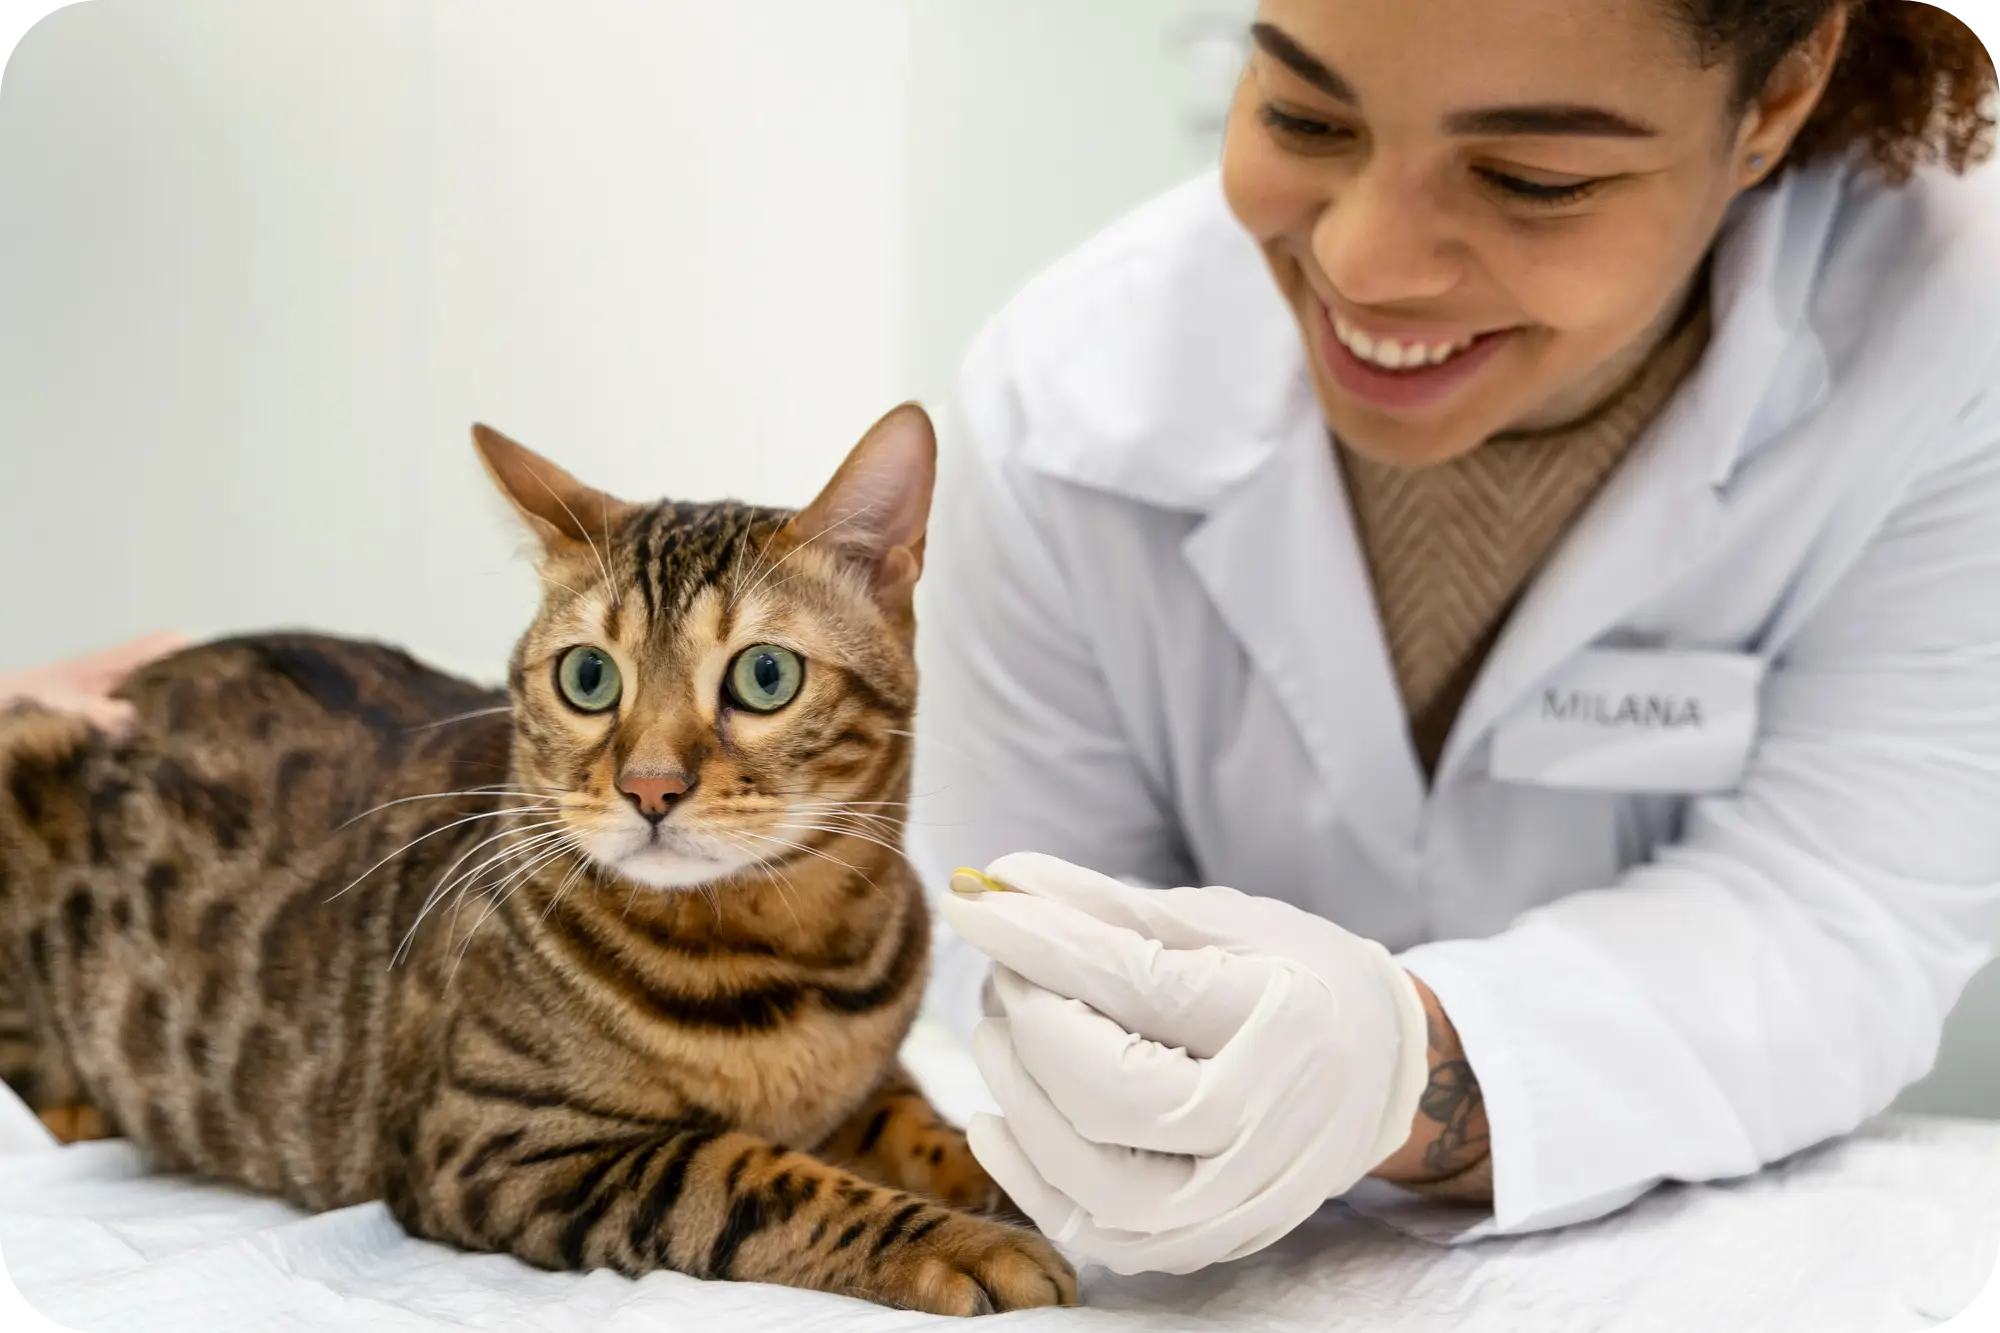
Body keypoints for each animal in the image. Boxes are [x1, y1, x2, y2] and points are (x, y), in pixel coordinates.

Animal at [0, 402, 1080, 1304]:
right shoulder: (500, 1140)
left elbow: (933, 1129)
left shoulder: (863, 1085)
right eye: (588, 676)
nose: (650, 786)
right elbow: (749, 1173)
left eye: (766, 675)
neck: (792, 953)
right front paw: (961, 1240)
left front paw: (1014, 1179)